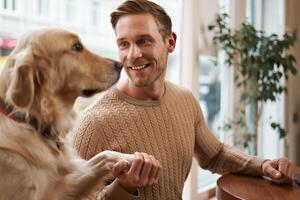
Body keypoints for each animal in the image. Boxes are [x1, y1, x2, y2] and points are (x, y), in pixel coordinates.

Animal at [0, 28, 134, 200]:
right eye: (77, 47)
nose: (120, 65)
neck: (29, 121)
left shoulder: (63, 186)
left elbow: (104, 155)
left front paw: (134, 158)